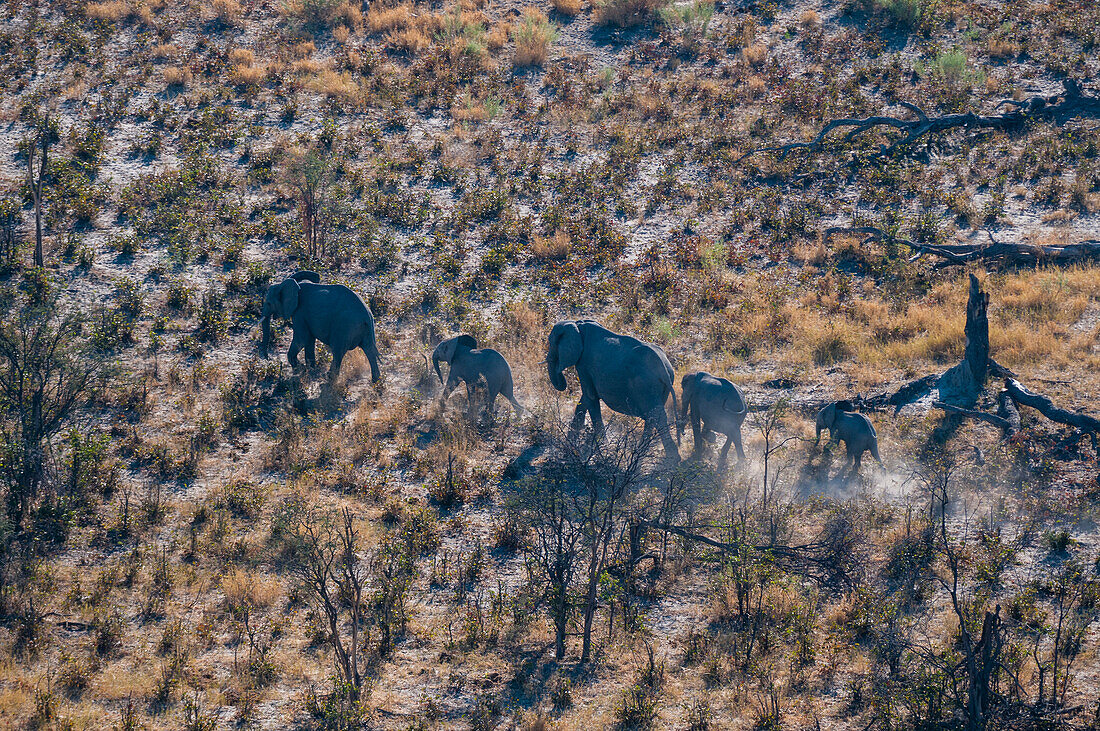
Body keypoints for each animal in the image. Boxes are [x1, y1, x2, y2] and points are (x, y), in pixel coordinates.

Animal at [543, 318, 677, 459]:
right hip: (662, 385)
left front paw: (604, 447)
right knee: (653, 418)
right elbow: (585, 399)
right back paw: (641, 452)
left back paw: (670, 459)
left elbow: (590, 396)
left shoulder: (584, 364)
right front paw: (570, 443)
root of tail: (663, 368)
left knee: (657, 416)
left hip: (646, 385)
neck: (577, 325)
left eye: (551, 343)